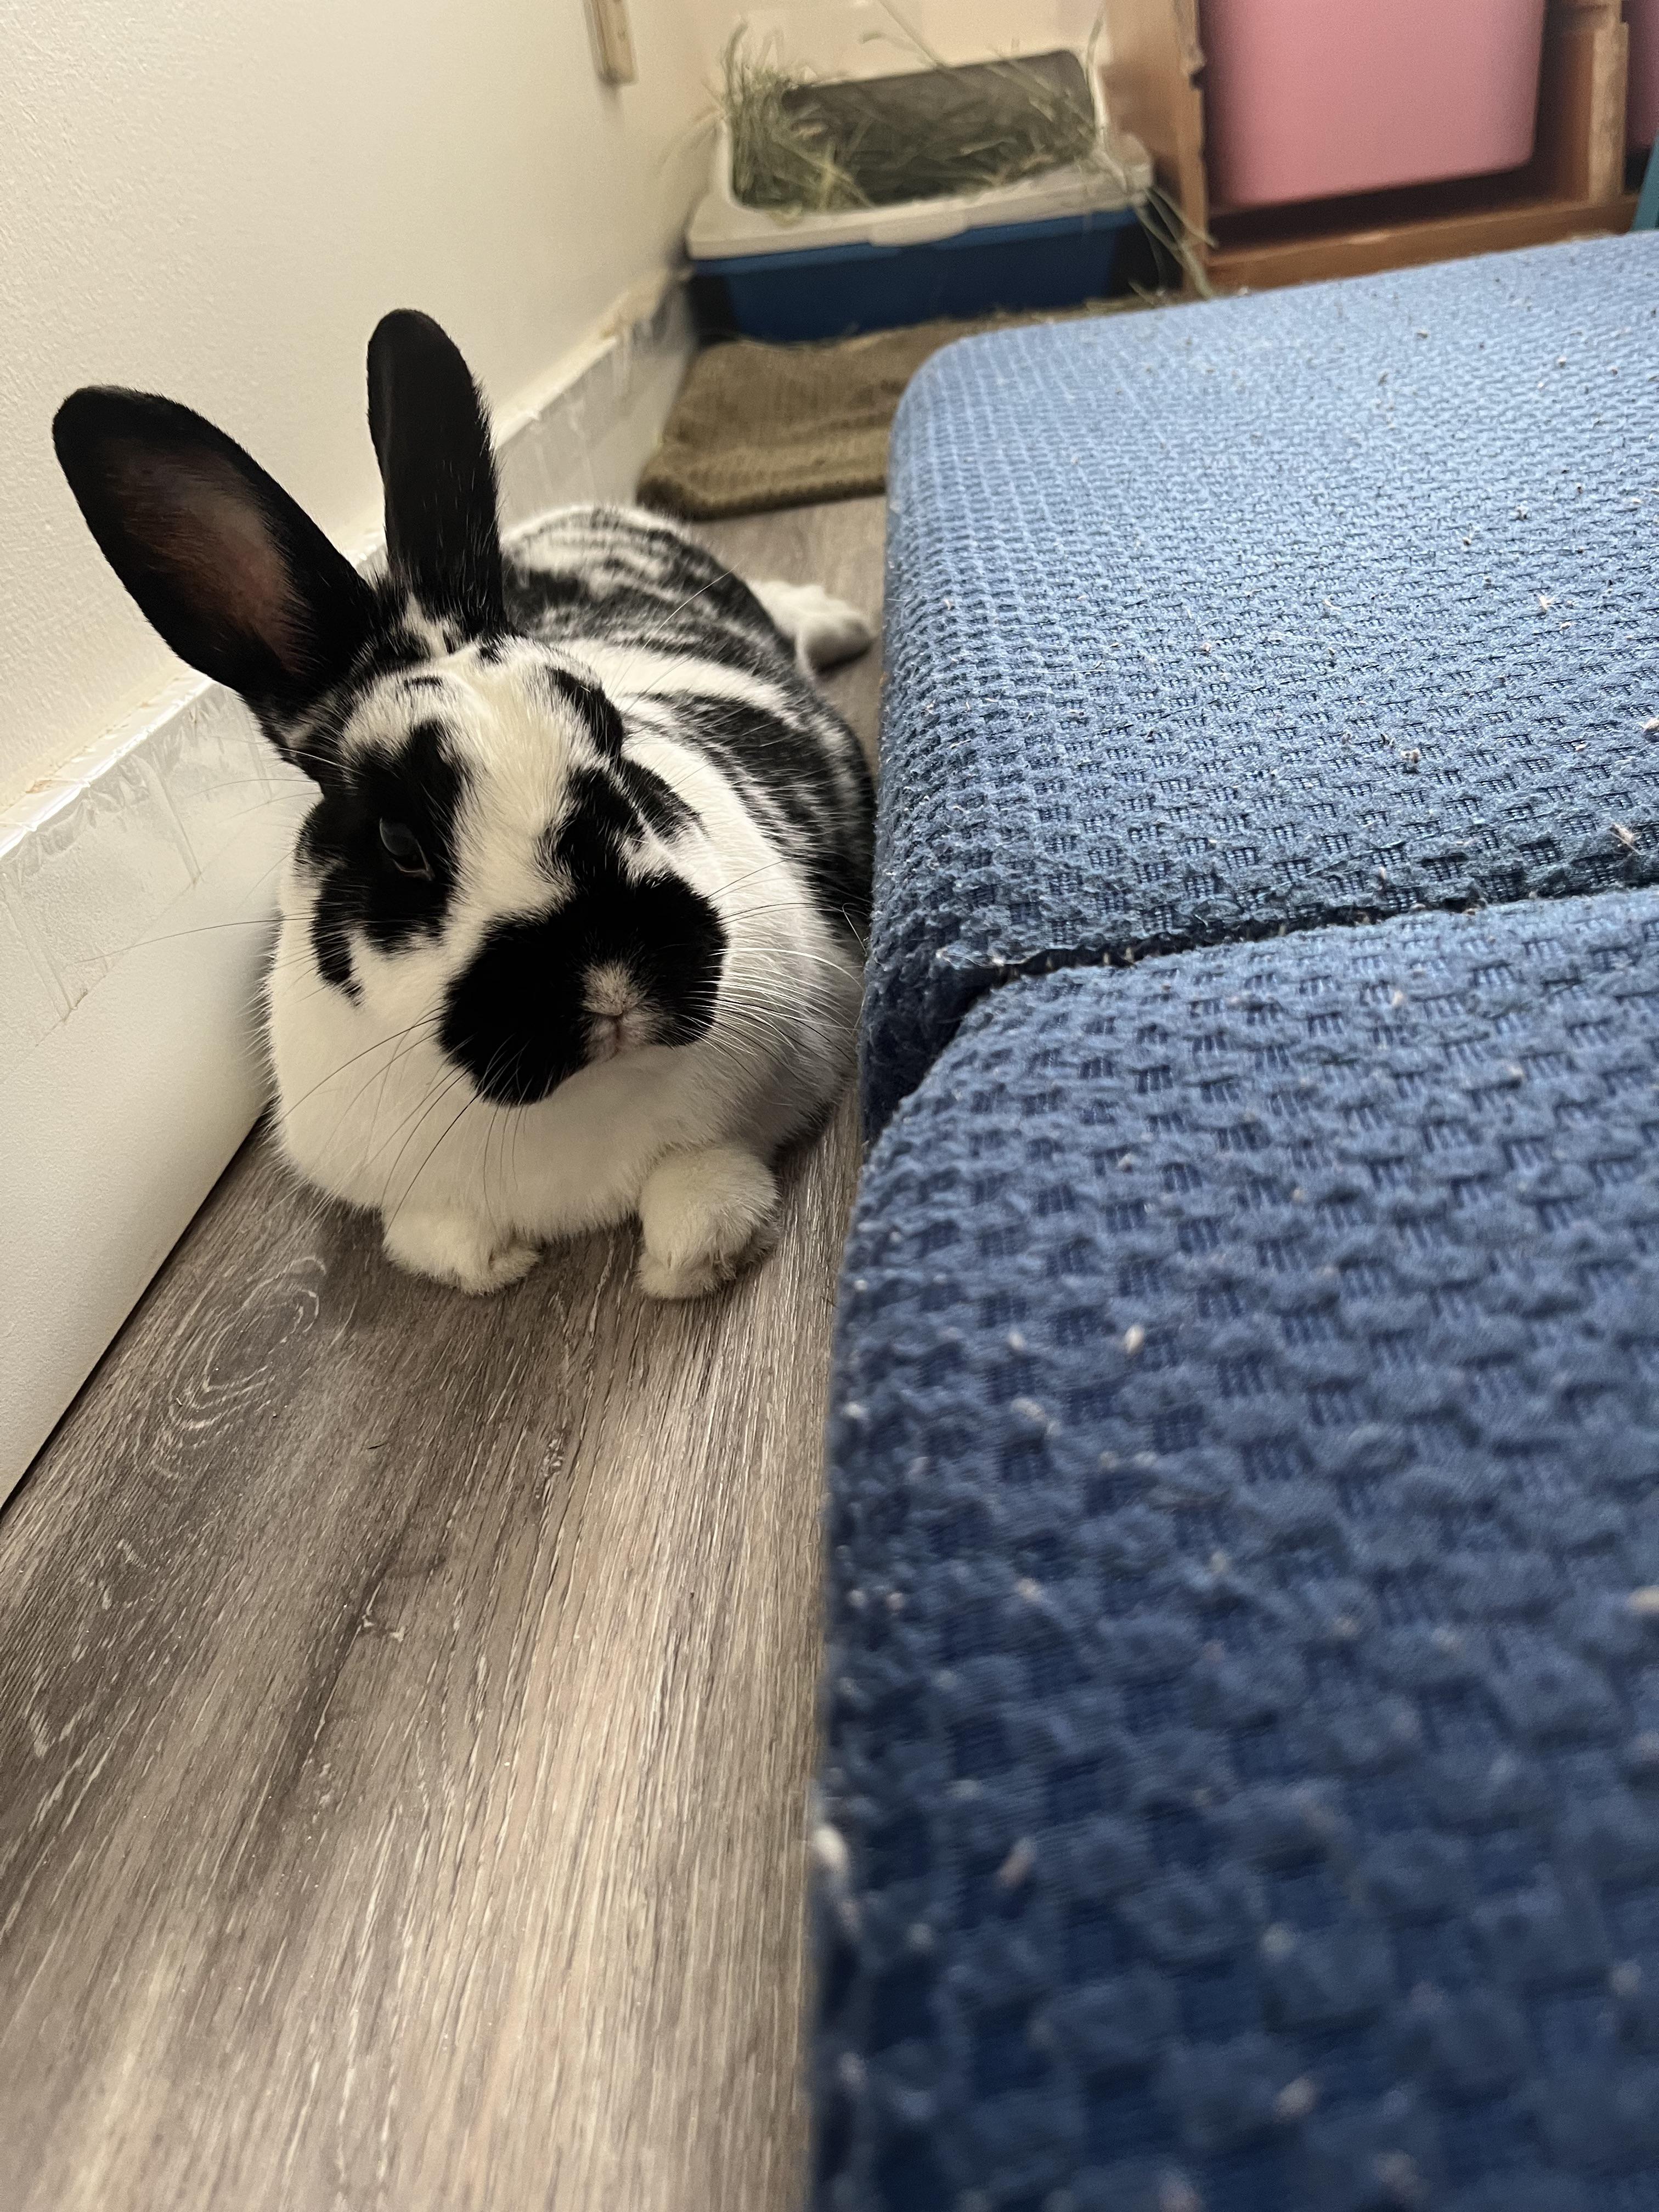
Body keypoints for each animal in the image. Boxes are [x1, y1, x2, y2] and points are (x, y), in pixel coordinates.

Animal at [53, 310, 875, 1299]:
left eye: (612, 741)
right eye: (398, 839)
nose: (611, 976)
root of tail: (576, 517)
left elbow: (699, 1178)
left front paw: (689, 1260)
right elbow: (435, 1235)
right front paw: (497, 1259)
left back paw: (840, 623)